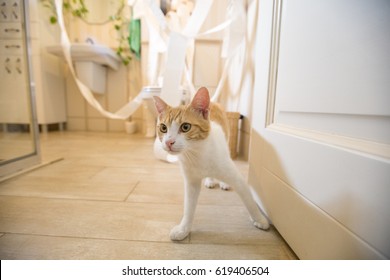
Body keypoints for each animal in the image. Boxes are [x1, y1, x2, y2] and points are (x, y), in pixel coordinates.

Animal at [154, 87, 270, 241]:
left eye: (185, 127)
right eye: (163, 128)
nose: (168, 142)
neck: (197, 154)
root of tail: (213, 102)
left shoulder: (237, 178)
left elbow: (249, 200)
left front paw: (260, 219)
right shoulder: (191, 181)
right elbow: (189, 207)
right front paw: (183, 229)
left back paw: (224, 183)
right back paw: (210, 180)